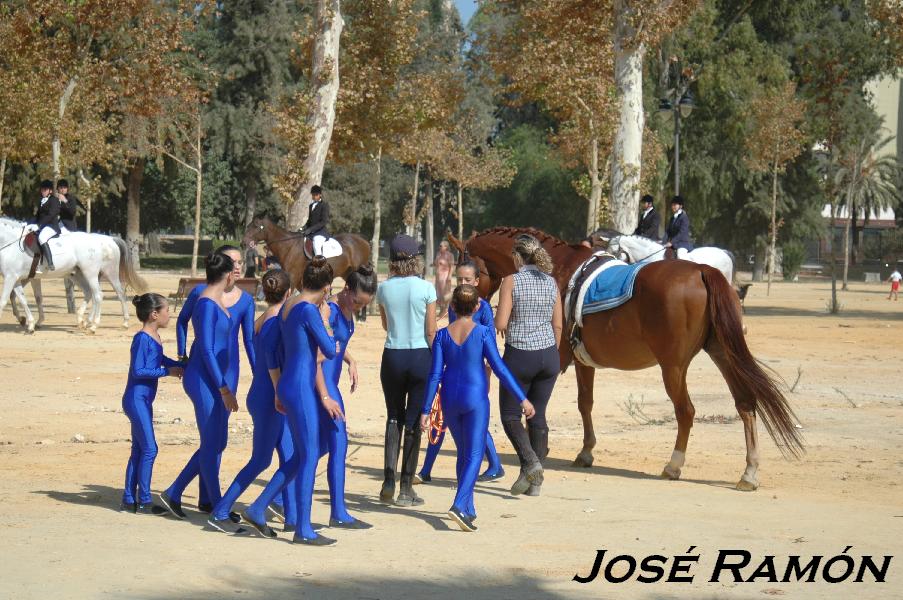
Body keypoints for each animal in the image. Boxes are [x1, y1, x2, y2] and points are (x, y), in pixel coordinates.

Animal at [1, 217, 147, 332]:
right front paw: (32, 322)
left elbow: (5, 300)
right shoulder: (23, 278)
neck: (12, 245)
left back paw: (98, 325)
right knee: (92, 293)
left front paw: (26, 320)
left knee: (105, 295)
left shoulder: (11, 277)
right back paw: (86, 321)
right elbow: (29, 298)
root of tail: (110, 239)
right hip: (79, 275)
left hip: (101, 273)